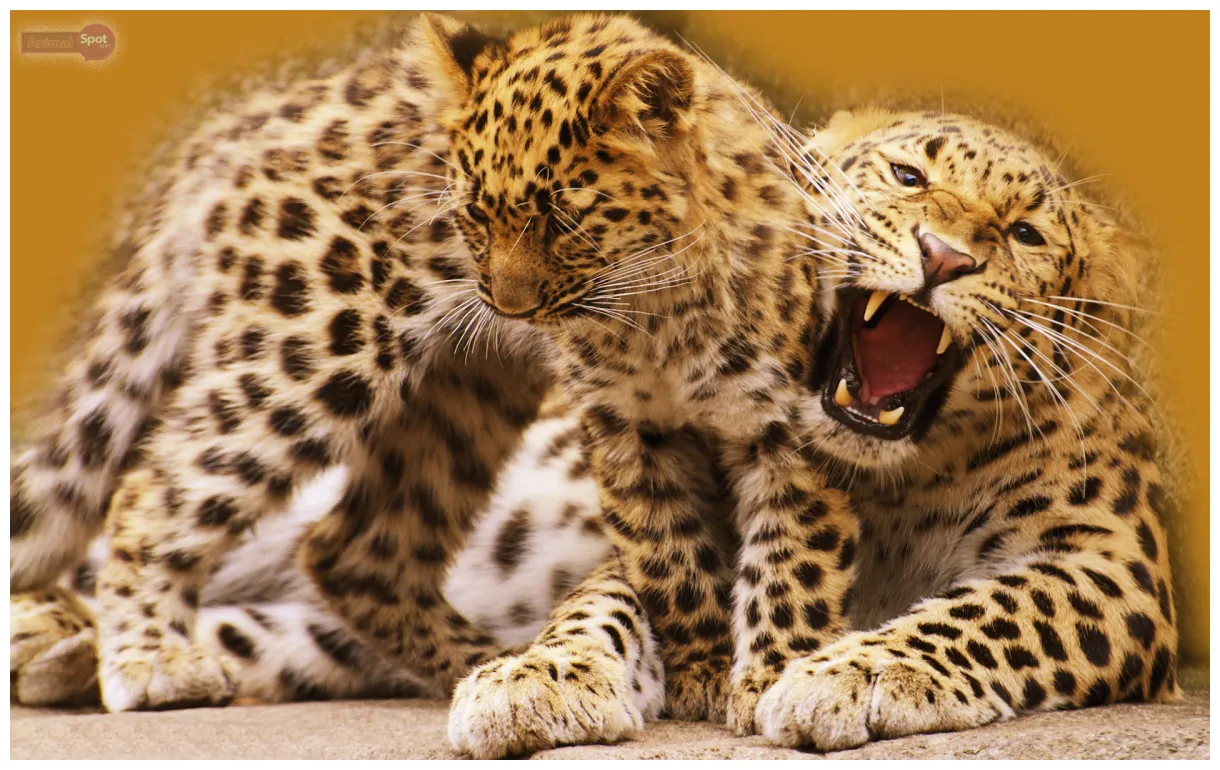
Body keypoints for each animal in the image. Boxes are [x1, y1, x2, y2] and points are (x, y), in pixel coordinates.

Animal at [443, 106, 1181, 756]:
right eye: (908, 176)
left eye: (1026, 233)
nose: (942, 257)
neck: (891, 486)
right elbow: (603, 602)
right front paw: (537, 676)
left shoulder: (1113, 564)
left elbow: (991, 611)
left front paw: (853, 672)